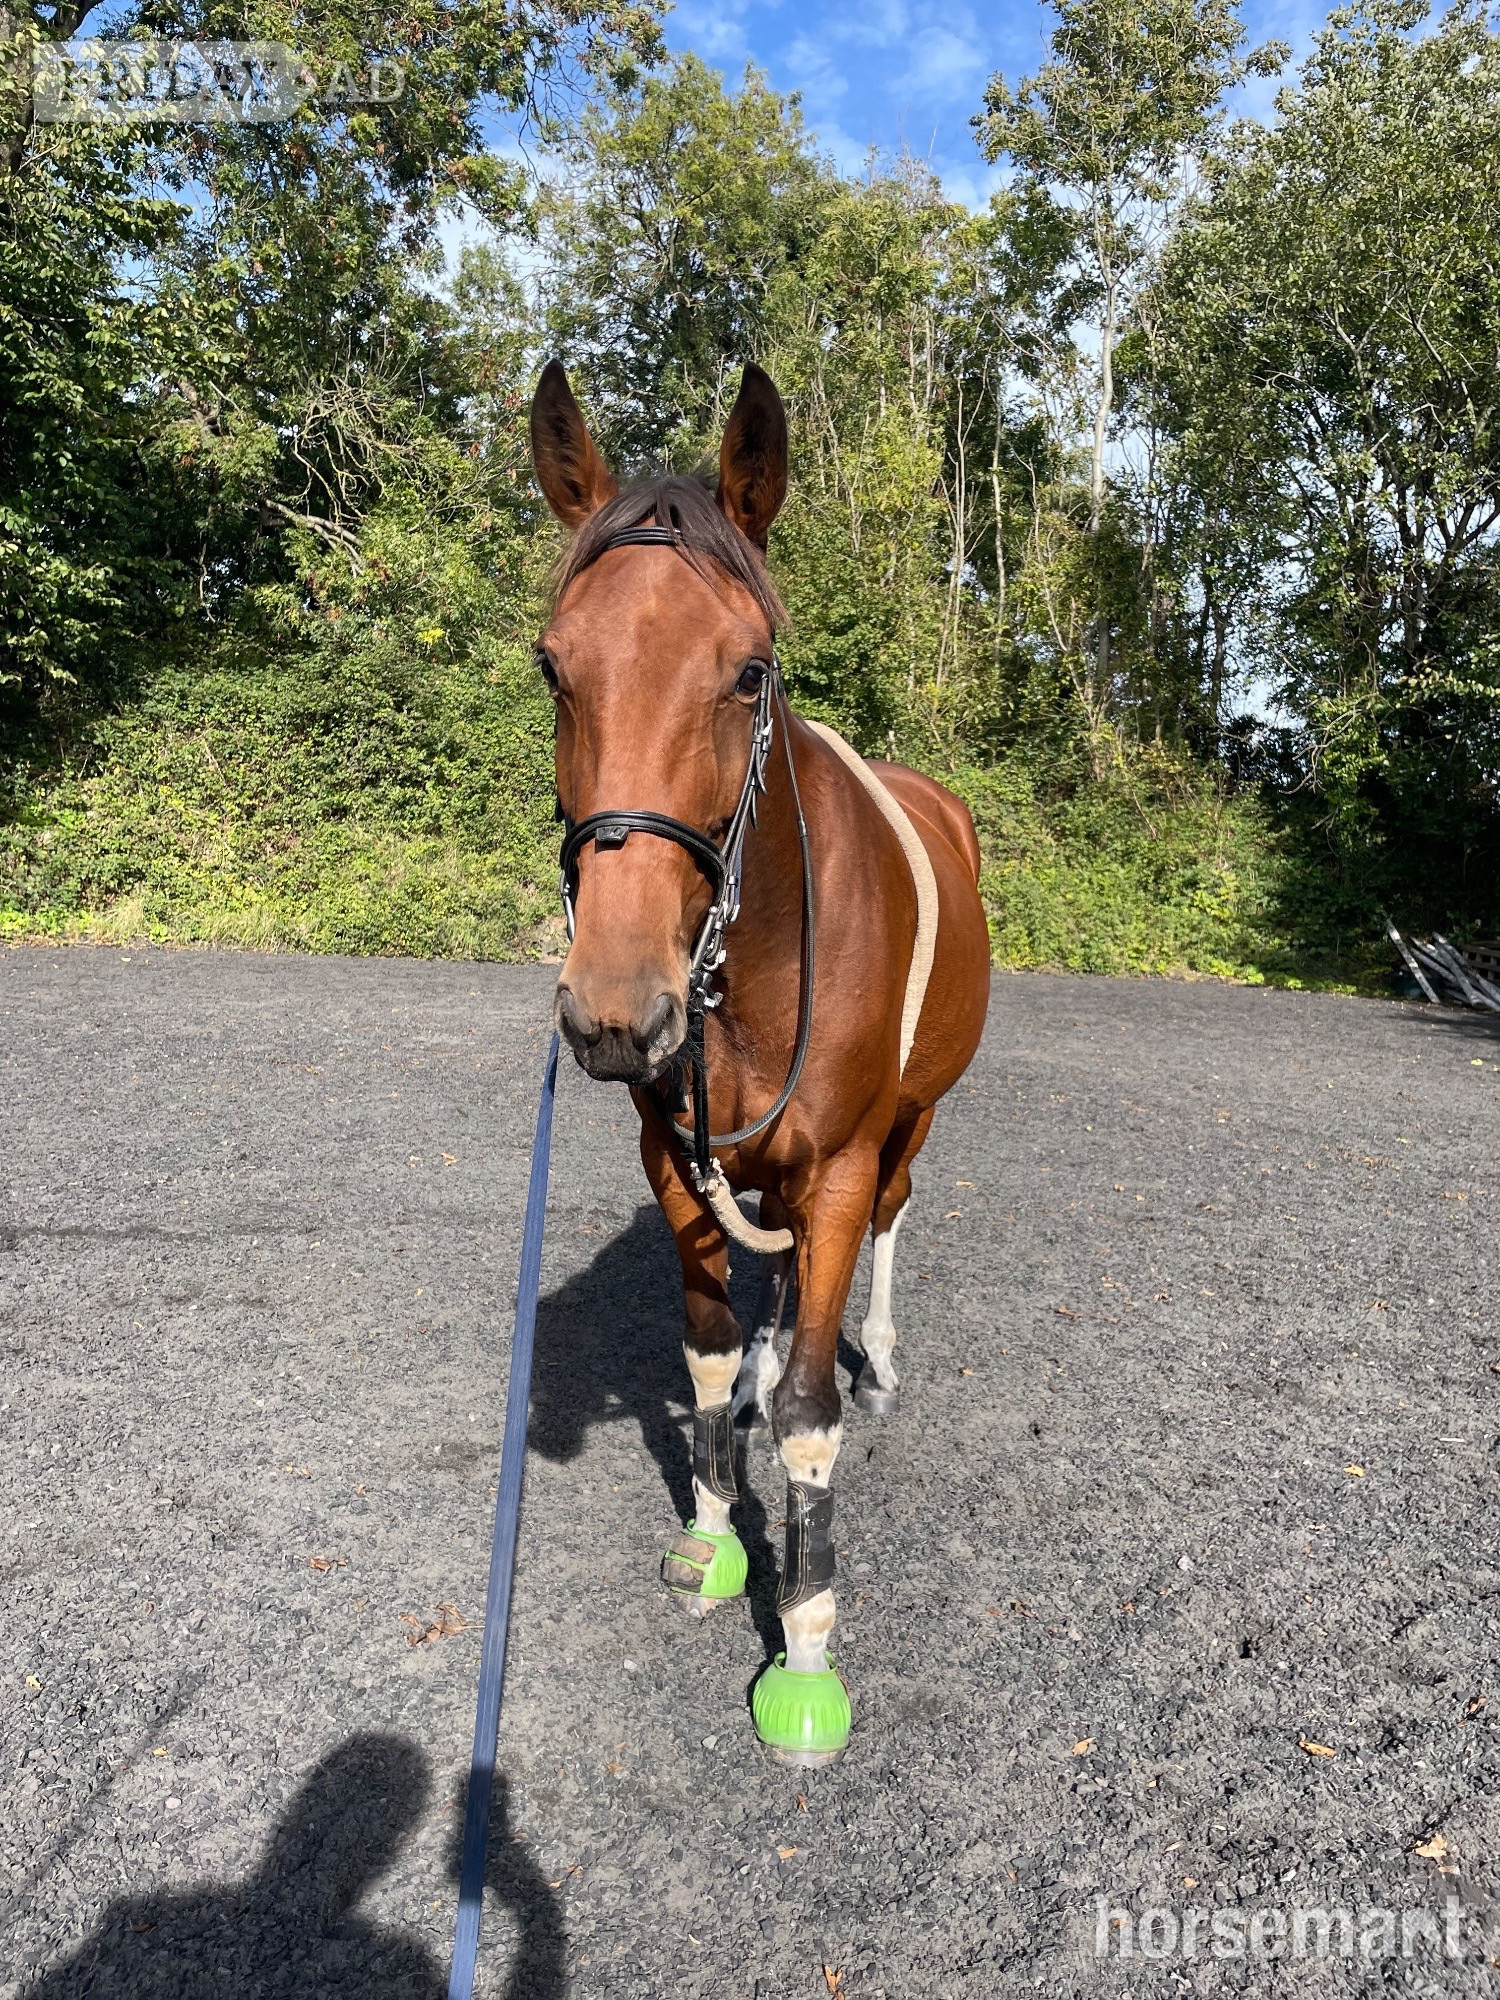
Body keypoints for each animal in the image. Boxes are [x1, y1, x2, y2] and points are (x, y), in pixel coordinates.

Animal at [530, 358, 991, 1764]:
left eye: (746, 673)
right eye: (553, 664)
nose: (614, 1009)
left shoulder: (838, 1161)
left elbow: (808, 1418)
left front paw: (805, 1641)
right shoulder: (673, 1159)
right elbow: (710, 1355)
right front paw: (714, 1537)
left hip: (910, 1124)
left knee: (890, 1223)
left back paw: (875, 1355)